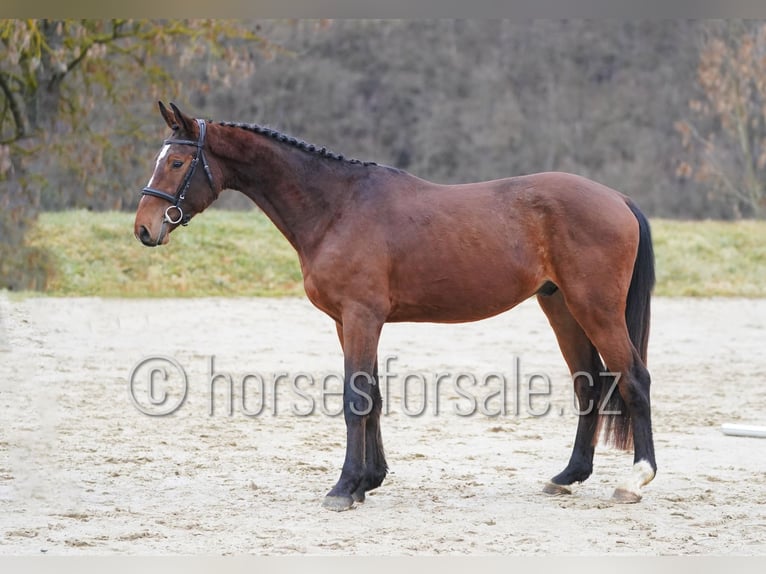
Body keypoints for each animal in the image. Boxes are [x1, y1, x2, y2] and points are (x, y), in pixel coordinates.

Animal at [134, 102, 656, 511]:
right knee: (589, 386)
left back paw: (635, 480)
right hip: (563, 310)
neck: (337, 207)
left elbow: (354, 398)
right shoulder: (349, 322)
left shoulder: (361, 316)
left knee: (634, 379)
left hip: (596, 309)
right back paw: (568, 476)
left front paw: (344, 487)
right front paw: (369, 480)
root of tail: (618, 199)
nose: (144, 228)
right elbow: (373, 396)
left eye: (177, 162)